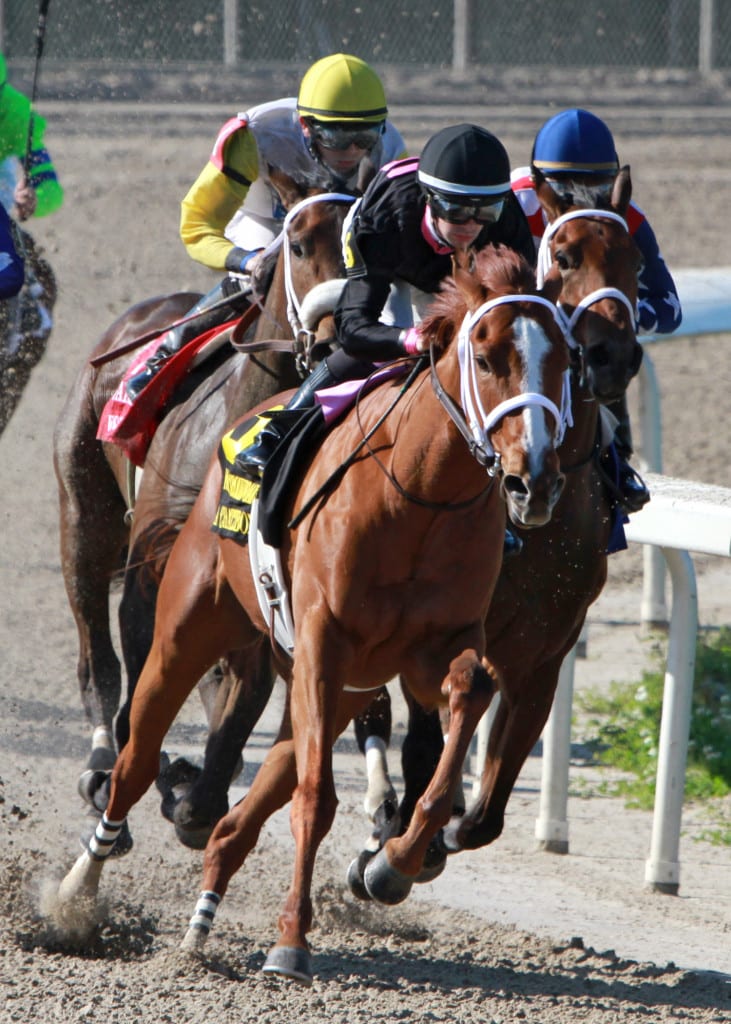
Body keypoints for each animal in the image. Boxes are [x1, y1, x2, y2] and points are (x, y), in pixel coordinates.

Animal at [51, 165, 356, 839]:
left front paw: (199, 792)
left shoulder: (260, 579)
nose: (333, 342)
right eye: (299, 244)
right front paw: (136, 772)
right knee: (96, 656)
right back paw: (99, 763)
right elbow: (144, 671)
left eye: (364, 248)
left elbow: (242, 692)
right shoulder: (152, 564)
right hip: (84, 522)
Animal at [55, 245, 569, 983]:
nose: (536, 480)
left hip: (334, 682)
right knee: (135, 760)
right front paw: (292, 943)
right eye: (486, 353)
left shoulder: (426, 652)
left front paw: (394, 861)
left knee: (240, 812)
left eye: (566, 357)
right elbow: (315, 800)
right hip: (187, 630)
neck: (420, 496)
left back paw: (199, 927)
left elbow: (469, 694)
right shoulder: (325, 645)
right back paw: (74, 896)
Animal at [344, 167, 638, 888]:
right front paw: (395, 846)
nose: (611, 355)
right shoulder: (430, 632)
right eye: (563, 256)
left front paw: (440, 833)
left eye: (637, 262)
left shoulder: (544, 652)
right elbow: (424, 744)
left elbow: (488, 811)